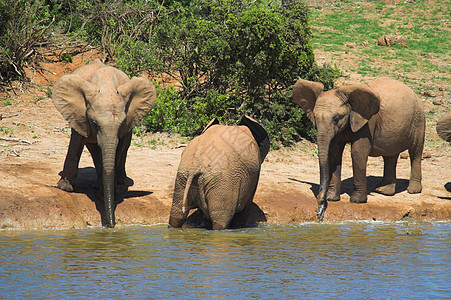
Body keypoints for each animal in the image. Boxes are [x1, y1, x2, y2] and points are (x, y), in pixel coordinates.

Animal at [53, 58, 157, 227]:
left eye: (121, 124)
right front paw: (65, 187)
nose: (111, 225)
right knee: (94, 149)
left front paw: (108, 193)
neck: (106, 86)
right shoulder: (79, 114)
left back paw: (119, 181)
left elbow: (119, 147)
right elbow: (76, 142)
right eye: (95, 124)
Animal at [294, 77, 428, 220]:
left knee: (415, 151)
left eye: (336, 118)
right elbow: (334, 153)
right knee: (390, 156)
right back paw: (383, 191)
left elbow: (357, 152)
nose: (321, 204)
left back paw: (412, 190)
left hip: (419, 119)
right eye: (314, 117)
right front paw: (332, 198)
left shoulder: (367, 123)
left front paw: (357, 201)